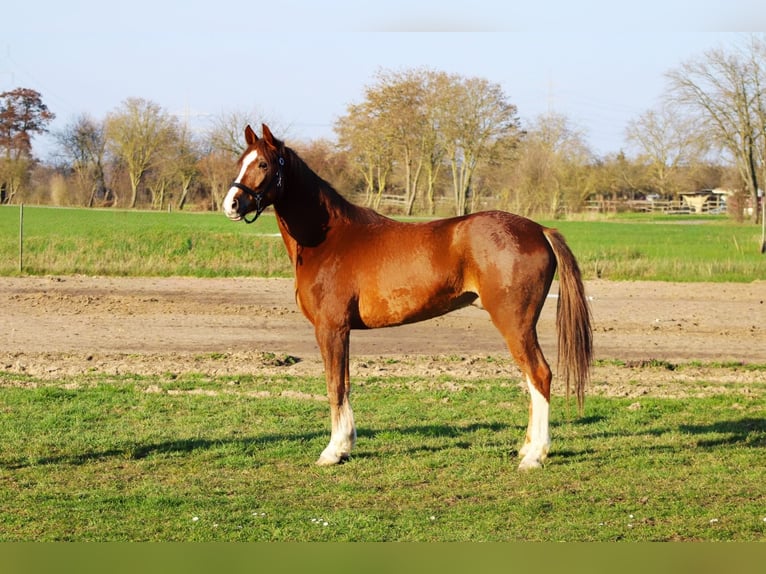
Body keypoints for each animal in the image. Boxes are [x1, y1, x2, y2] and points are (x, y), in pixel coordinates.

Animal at [223, 124, 592, 470]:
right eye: (240, 162)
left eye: (263, 164)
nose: (231, 204)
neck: (328, 239)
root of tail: (540, 230)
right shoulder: (342, 332)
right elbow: (346, 382)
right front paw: (346, 446)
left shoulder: (331, 329)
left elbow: (335, 386)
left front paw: (333, 451)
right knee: (530, 379)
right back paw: (527, 448)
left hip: (515, 323)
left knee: (539, 375)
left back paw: (535, 456)